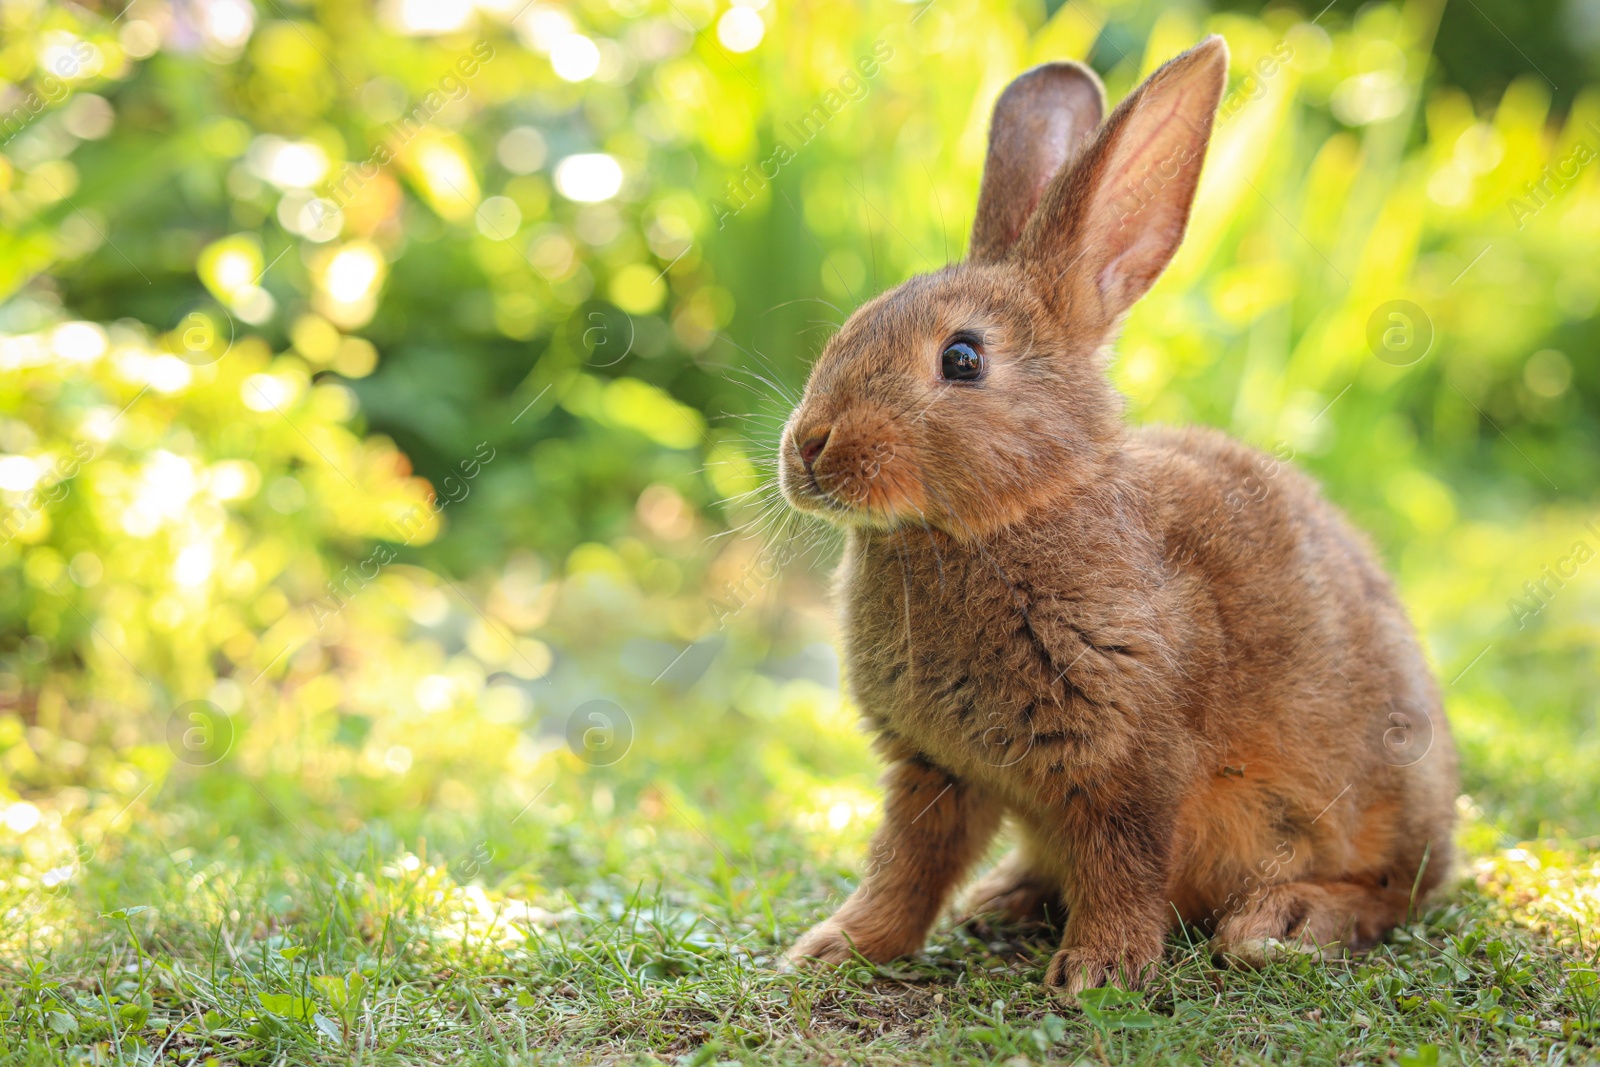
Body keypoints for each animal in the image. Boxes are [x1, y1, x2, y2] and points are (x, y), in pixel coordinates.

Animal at [777, 35, 1465, 1004]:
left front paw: (1096, 975)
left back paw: (1279, 923)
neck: (1011, 516)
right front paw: (835, 947)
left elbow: (1122, 863)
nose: (808, 447)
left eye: (963, 358)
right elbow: (906, 867)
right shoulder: (933, 767)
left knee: (1391, 892)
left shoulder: (1127, 759)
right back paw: (1006, 899)